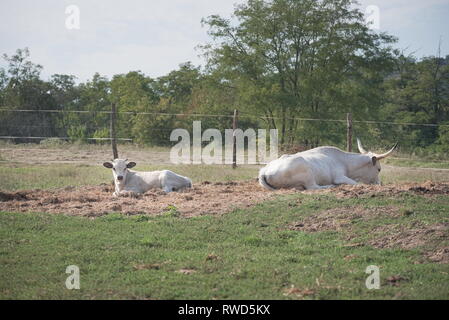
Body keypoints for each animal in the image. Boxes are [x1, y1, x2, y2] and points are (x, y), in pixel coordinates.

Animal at [258, 138, 398, 190]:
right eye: (379, 169)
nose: (380, 183)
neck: (344, 161)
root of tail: (264, 171)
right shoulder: (339, 177)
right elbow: (357, 183)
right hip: (307, 173)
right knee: (313, 187)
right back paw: (330, 186)